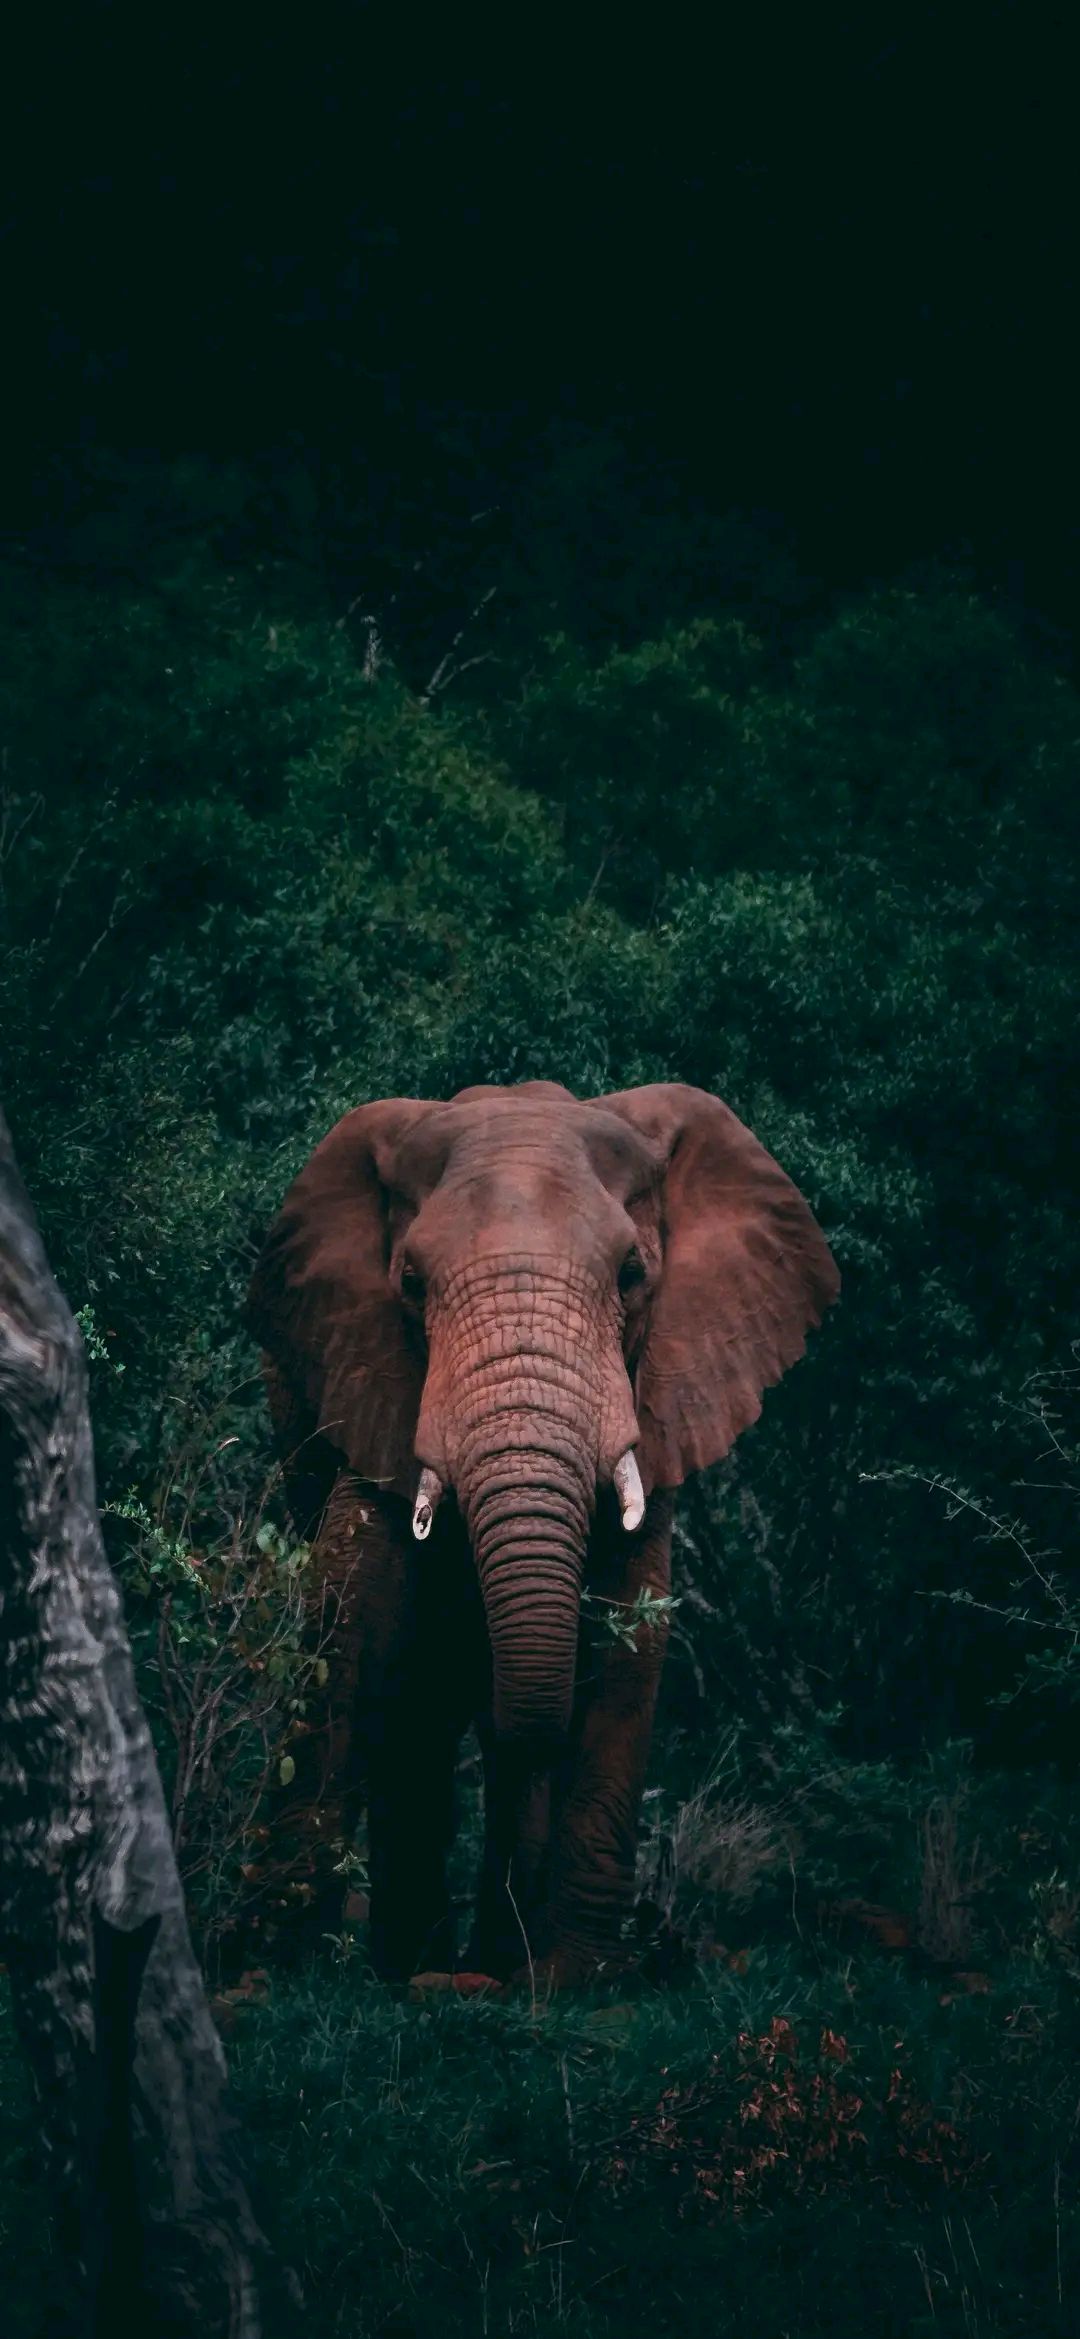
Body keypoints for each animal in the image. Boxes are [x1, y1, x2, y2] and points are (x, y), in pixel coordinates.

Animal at [248, 1085, 841, 1983]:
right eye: (410, 1282)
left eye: (632, 1275)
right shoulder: (368, 1375)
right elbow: (353, 1624)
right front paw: (278, 1962)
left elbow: (630, 1636)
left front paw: (576, 1977)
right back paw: (423, 1957)